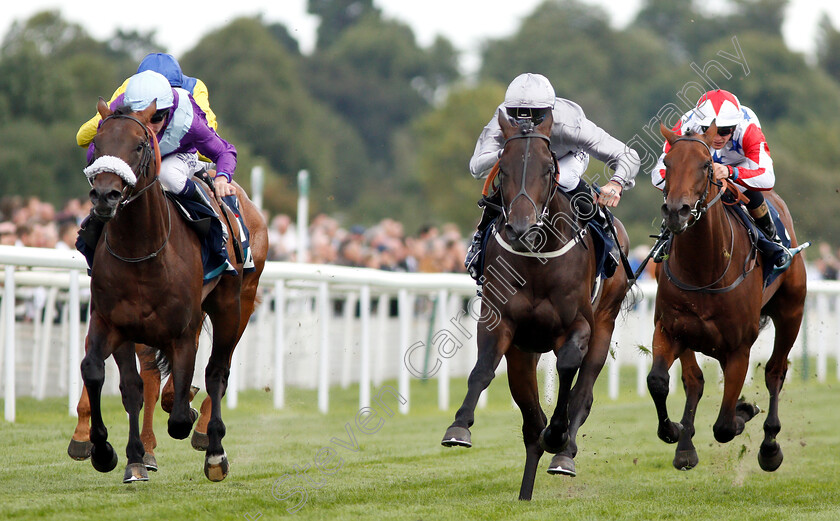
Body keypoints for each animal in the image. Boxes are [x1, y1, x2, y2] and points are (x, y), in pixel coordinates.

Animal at [76, 98, 266, 484]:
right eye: (97, 146)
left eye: (139, 145)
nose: (105, 195)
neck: (142, 250)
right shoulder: (112, 321)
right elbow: (104, 375)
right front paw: (111, 453)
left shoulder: (183, 330)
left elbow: (179, 413)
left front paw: (189, 419)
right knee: (149, 381)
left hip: (235, 306)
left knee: (217, 371)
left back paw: (212, 446)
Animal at [440, 110, 632, 500]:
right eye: (504, 168)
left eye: (547, 168)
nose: (521, 227)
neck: (537, 257)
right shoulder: (499, 321)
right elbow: (482, 370)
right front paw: (459, 426)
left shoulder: (579, 326)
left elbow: (568, 369)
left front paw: (558, 436)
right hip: (523, 352)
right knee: (532, 423)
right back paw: (525, 492)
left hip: (605, 323)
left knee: (583, 391)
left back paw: (564, 454)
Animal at [648, 123, 808, 472]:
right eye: (667, 162)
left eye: (706, 165)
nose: (676, 212)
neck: (704, 270)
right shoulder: (669, 329)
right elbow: (658, 381)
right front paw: (673, 431)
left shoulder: (739, 349)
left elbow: (723, 426)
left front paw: (744, 412)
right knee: (694, 381)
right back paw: (685, 446)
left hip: (791, 313)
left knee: (775, 372)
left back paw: (769, 446)